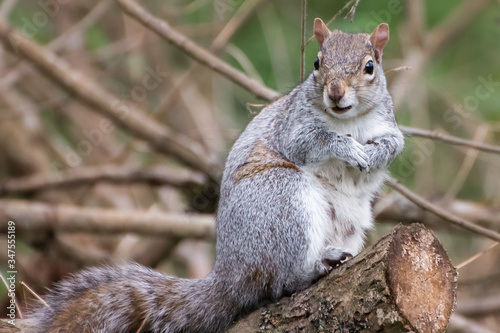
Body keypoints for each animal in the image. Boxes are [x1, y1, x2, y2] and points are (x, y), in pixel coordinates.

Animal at [31, 18, 404, 332]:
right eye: (316, 63)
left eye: (369, 67)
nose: (335, 92)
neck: (349, 119)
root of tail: (230, 273)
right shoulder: (293, 127)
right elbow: (311, 142)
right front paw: (348, 148)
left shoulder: (388, 127)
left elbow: (393, 145)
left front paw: (372, 154)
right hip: (281, 199)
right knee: (280, 282)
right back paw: (315, 266)